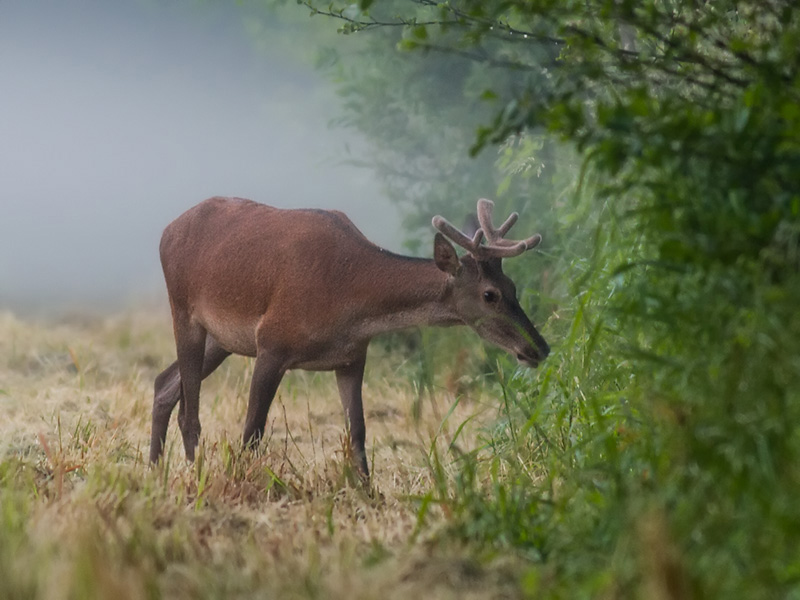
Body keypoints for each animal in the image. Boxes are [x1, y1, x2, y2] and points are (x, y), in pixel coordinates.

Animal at [150, 197, 552, 482]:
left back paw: (155, 469)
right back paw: (192, 474)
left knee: (164, 382)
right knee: (189, 410)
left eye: (512, 286)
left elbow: (357, 433)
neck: (347, 297)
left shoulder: (351, 358)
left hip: (222, 340)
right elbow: (252, 431)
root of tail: (166, 231)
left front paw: (369, 494)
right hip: (183, 309)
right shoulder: (272, 342)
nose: (539, 347)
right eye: (489, 294)